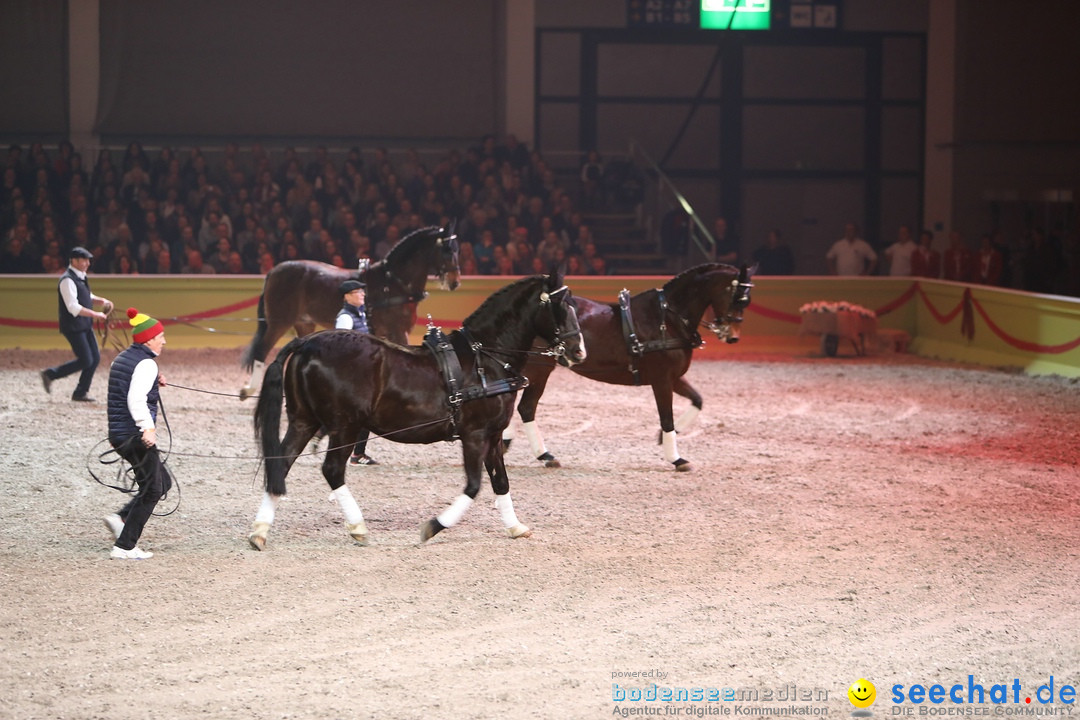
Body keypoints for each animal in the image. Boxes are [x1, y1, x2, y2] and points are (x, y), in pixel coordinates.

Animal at [240, 223, 460, 397]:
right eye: (448, 250)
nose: (455, 282)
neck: (393, 283)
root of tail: (274, 271)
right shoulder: (397, 331)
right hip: (279, 322)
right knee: (262, 350)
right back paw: (248, 390)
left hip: (304, 323)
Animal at [248, 273, 587, 548]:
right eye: (561, 307)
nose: (578, 351)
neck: (485, 359)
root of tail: (306, 343)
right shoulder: (475, 435)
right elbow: (474, 486)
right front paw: (433, 526)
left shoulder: (493, 435)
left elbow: (501, 482)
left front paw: (515, 526)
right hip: (344, 425)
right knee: (332, 470)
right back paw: (358, 526)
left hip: (303, 421)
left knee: (281, 463)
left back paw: (260, 530)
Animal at [503, 264, 751, 472]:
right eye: (738, 298)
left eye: (746, 301)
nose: (733, 336)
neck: (667, 320)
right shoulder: (662, 379)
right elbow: (666, 417)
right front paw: (676, 458)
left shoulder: (673, 378)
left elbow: (697, 400)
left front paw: (664, 437)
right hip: (539, 369)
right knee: (525, 407)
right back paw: (534, 451)